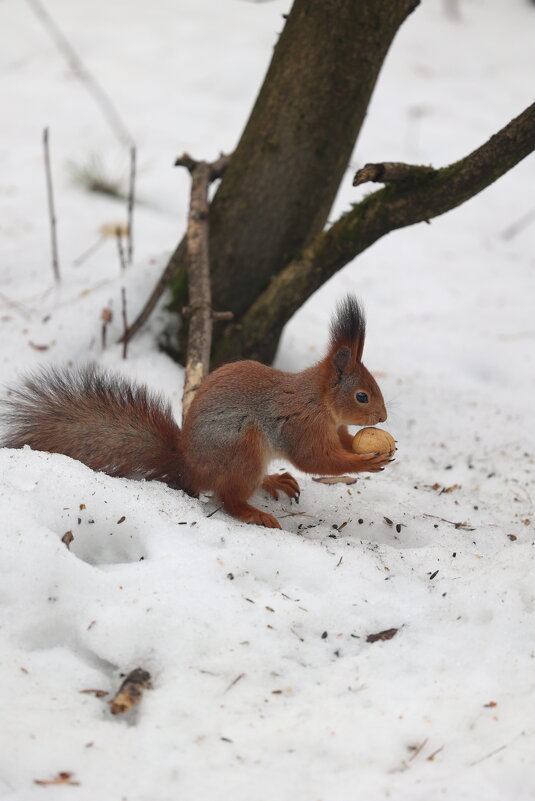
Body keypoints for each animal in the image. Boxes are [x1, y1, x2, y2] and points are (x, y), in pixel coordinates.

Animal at [2, 296, 392, 528]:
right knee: (229, 498)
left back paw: (272, 481)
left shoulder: (331, 427)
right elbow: (316, 459)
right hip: (243, 449)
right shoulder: (300, 425)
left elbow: (341, 442)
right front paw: (366, 461)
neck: (319, 401)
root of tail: (187, 466)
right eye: (361, 396)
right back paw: (255, 513)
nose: (383, 418)